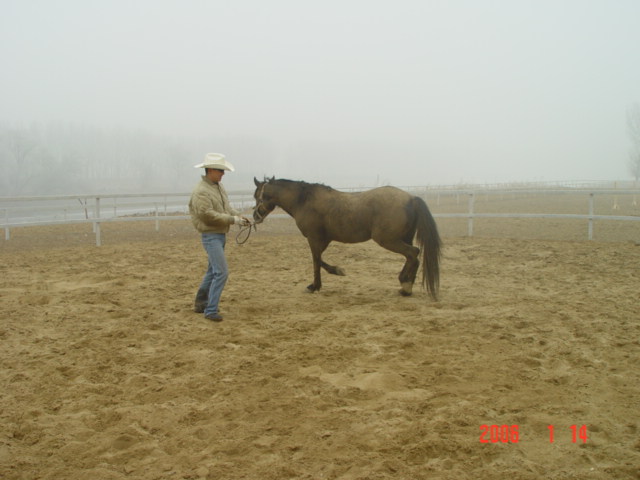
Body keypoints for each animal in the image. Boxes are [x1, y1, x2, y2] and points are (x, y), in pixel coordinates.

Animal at [252, 178, 442, 300]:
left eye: (256, 195)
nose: (254, 217)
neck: (304, 201)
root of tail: (411, 198)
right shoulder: (323, 240)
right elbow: (320, 260)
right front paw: (336, 271)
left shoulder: (314, 239)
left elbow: (316, 261)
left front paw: (315, 286)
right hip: (403, 238)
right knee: (414, 257)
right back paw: (406, 287)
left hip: (388, 240)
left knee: (413, 254)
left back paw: (405, 285)